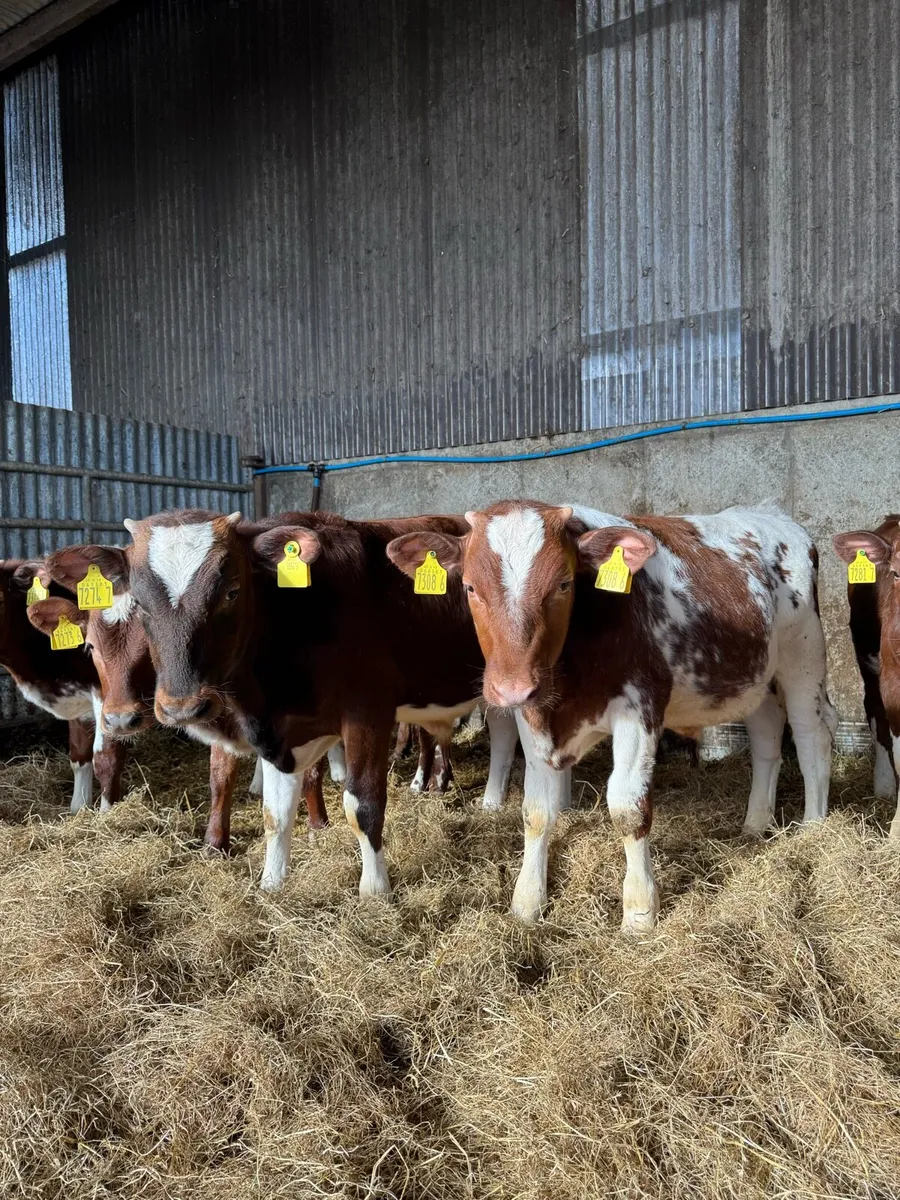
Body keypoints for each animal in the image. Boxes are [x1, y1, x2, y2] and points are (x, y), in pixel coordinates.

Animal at [73, 508, 519, 895]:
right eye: (140, 604)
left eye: (231, 592)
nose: (183, 708)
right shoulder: (280, 731)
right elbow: (276, 812)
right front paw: (272, 882)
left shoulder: (368, 712)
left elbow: (364, 804)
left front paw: (375, 891)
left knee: (502, 734)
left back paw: (491, 801)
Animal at [387, 501, 837, 932]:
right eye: (469, 586)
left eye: (564, 584)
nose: (512, 688)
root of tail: (773, 516)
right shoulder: (534, 715)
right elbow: (536, 811)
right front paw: (527, 904)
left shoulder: (640, 708)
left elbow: (627, 807)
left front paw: (639, 912)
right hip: (756, 678)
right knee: (766, 739)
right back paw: (756, 824)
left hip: (804, 660)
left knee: (812, 735)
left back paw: (814, 828)